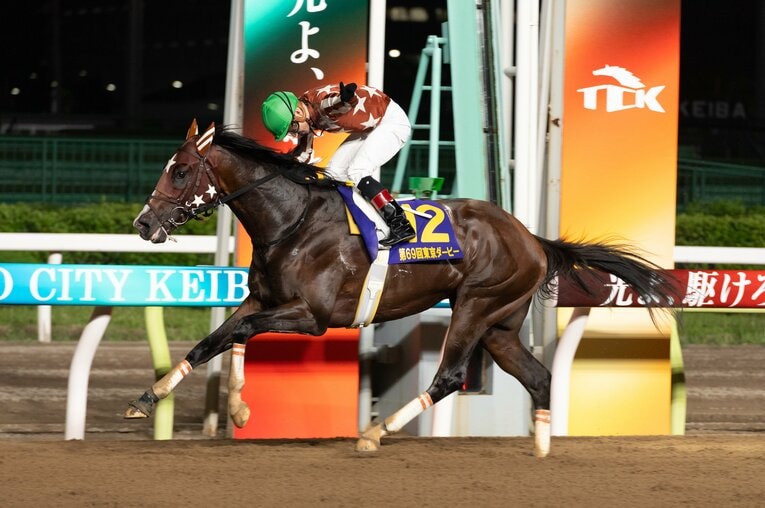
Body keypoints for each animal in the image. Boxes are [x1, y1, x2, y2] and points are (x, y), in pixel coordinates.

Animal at [126, 119, 678, 457]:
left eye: (180, 172)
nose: (143, 224)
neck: (290, 221)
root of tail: (531, 237)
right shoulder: (263, 298)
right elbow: (218, 339)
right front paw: (157, 399)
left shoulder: (311, 316)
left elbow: (237, 334)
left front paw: (225, 406)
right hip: (500, 324)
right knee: (538, 376)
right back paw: (541, 449)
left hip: (476, 305)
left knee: (450, 376)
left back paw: (376, 432)